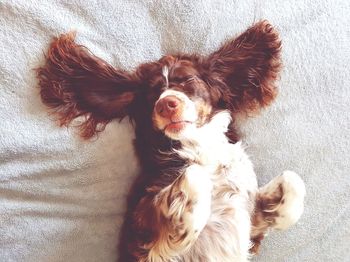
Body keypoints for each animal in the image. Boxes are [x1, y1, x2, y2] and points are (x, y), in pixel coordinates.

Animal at [37, 21, 306, 262]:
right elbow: (196, 176)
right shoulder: (139, 228)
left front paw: (277, 214)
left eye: (188, 81)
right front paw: (185, 232)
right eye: (151, 95)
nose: (167, 104)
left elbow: (292, 180)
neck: (199, 146)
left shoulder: (249, 216)